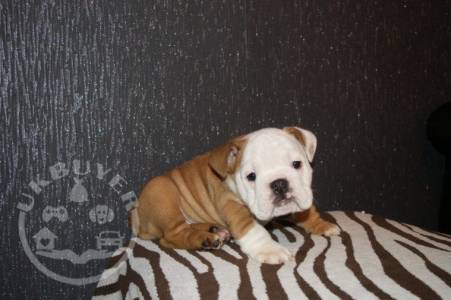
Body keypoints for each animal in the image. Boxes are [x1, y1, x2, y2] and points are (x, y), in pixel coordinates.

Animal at [132, 127, 340, 264]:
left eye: (297, 164)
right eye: (251, 176)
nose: (279, 184)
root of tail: (137, 216)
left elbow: (306, 211)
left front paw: (321, 224)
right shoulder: (231, 203)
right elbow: (252, 228)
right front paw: (270, 249)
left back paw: (214, 230)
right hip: (162, 191)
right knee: (171, 236)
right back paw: (204, 239)